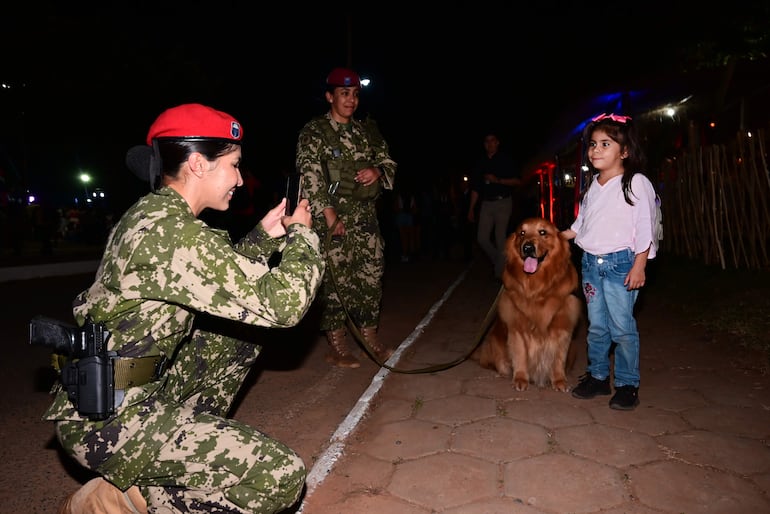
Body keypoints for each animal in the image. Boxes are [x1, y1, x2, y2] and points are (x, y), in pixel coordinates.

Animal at [468, 215, 584, 388]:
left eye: (542, 232)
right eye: (521, 233)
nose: (528, 247)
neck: (537, 288)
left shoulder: (563, 325)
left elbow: (558, 357)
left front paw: (559, 380)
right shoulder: (516, 326)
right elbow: (520, 354)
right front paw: (521, 378)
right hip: (495, 341)